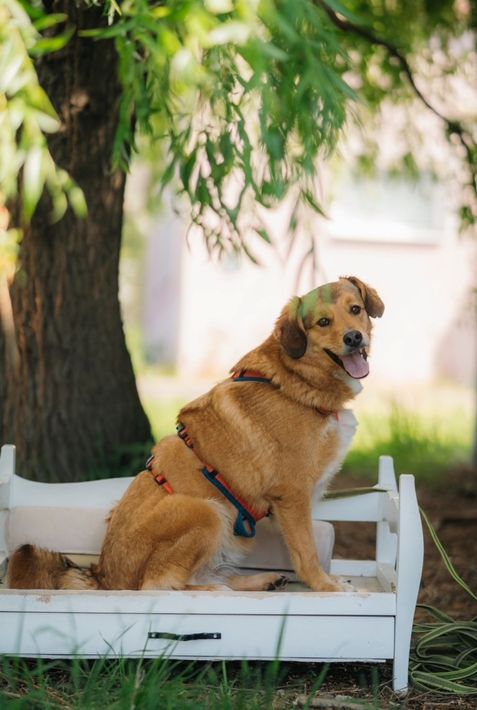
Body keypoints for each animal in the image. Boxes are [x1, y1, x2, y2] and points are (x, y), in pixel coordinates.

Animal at [8, 276, 384, 593]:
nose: (354, 338)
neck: (295, 380)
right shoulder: (292, 495)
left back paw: (260, 581)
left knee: (209, 573)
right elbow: (306, 552)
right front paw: (325, 586)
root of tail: (103, 575)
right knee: (161, 586)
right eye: (323, 322)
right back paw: (216, 592)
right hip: (204, 510)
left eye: (355, 309)